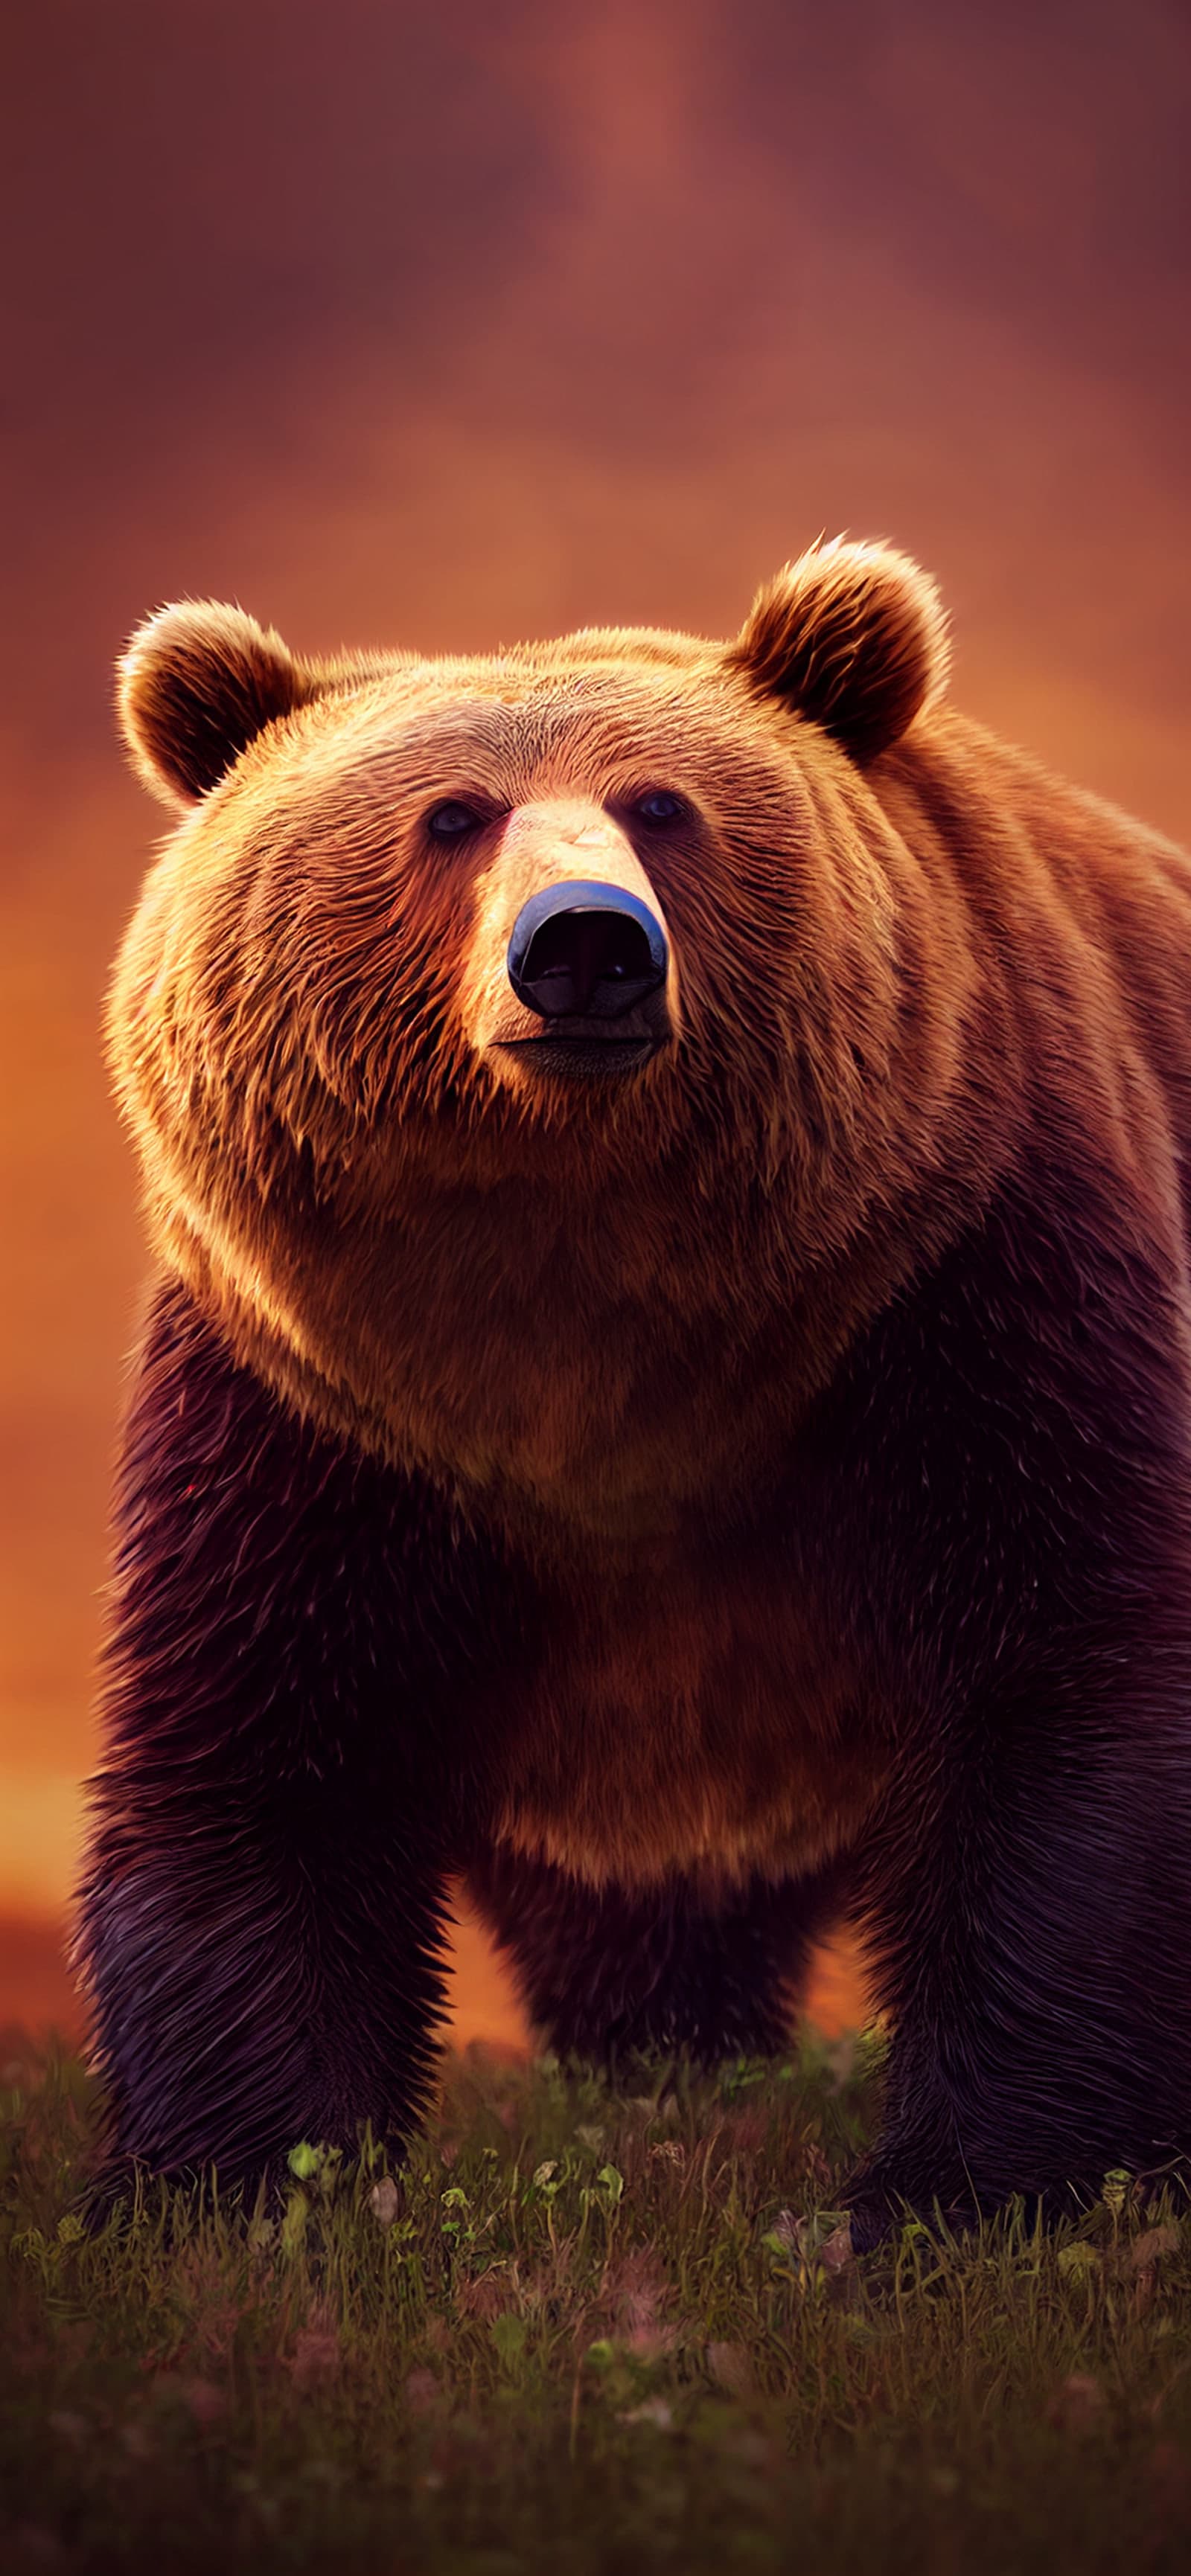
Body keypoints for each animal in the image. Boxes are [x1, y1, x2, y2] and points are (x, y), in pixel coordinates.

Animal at [76, 536, 1191, 2249]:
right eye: (451, 815)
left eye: (663, 804)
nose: (585, 942)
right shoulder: (316, 1415)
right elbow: (262, 1747)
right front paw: (231, 2189)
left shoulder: (967, 1287)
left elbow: (1069, 1692)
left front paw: (950, 2196)